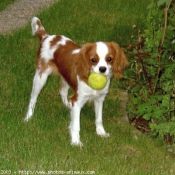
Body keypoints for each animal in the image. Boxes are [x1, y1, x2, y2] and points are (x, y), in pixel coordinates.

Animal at [24, 16, 128, 146]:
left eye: (109, 59)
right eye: (93, 60)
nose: (102, 69)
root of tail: (47, 37)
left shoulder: (99, 99)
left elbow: (99, 119)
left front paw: (101, 133)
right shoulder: (77, 101)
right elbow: (76, 125)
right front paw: (75, 142)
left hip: (65, 76)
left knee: (62, 91)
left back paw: (67, 105)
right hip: (40, 77)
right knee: (33, 98)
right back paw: (28, 116)